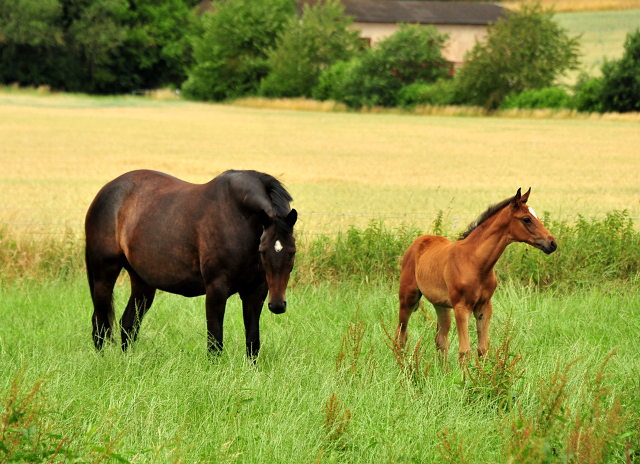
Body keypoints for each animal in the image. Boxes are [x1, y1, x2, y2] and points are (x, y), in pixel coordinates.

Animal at [85, 169, 300, 358]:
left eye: (293, 252)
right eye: (262, 251)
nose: (278, 305)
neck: (236, 217)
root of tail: (105, 192)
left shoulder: (256, 291)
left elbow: (253, 342)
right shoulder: (216, 289)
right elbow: (215, 342)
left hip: (142, 282)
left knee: (127, 324)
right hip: (104, 274)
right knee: (100, 323)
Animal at [396, 188, 556, 362]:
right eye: (526, 219)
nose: (552, 243)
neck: (475, 263)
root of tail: (419, 241)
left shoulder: (484, 307)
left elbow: (483, 349)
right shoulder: (461, 307)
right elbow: (465, 352)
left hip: (441, 305)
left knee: (441, 339)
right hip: (408, 298)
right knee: (401, 336)